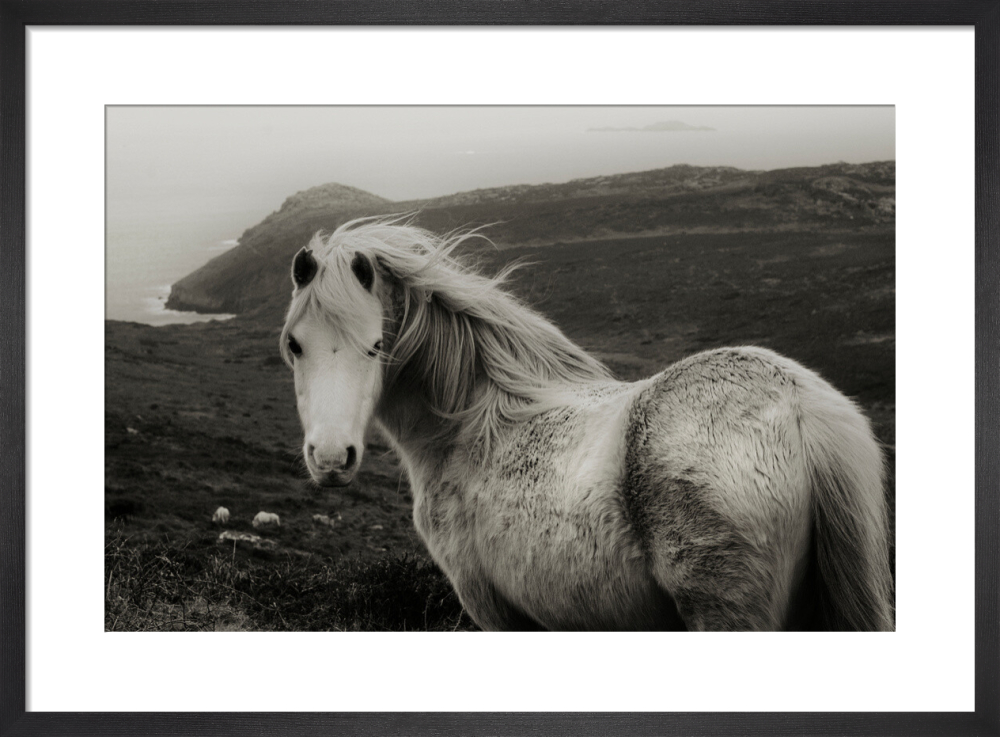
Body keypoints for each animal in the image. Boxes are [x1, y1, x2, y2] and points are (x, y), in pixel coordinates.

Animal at [279, 218, 895, 631]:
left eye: (375, 346)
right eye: (294, 345)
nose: (331, 459)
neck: (467, 427)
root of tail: (797, 404)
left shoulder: (496, 612)